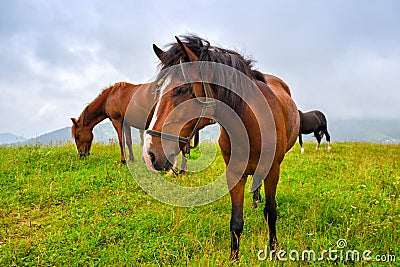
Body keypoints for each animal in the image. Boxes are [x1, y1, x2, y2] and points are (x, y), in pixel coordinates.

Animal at [142, 34, 298, 262]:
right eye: (157, 91)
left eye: (182, 89)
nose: (150, 154)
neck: (251, 126)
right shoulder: (234, 173)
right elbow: (236, 222)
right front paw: (234, 257)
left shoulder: (273, 170)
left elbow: (271, 212)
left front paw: (275, 250)